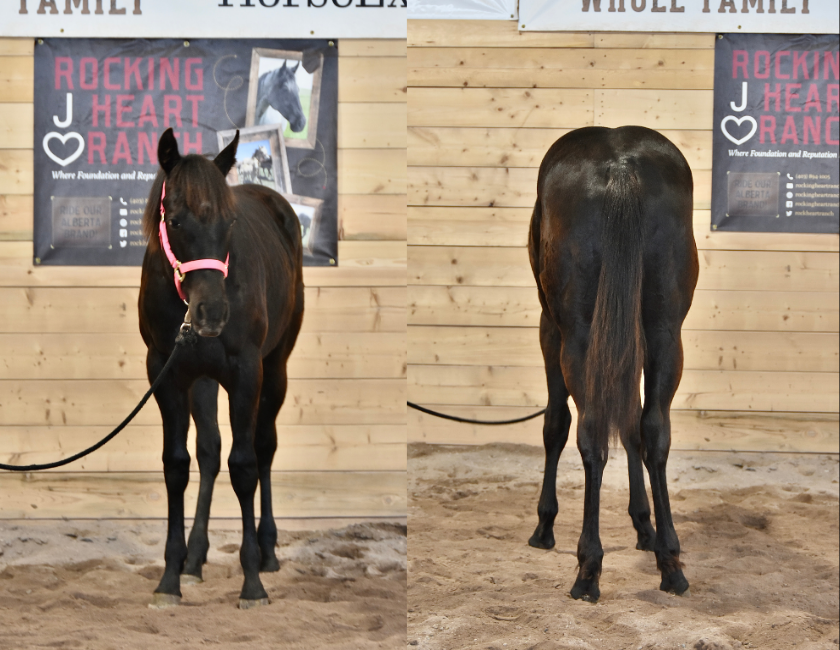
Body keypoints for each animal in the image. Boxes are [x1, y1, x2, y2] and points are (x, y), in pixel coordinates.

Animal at [138, 128, 304, 609]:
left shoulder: (247, 373)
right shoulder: (166, 374)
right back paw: (194, 559)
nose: (211, 313)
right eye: (175, 221)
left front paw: (252, 583)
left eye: (229, 223)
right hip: (203, 381)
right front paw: (170, 577)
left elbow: (244, 466)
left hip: (275, 368)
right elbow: (177, 465)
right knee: (209, 451)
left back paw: (267, 551)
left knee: (264, 448)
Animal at [527, 126, 698, 602]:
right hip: (664, 331)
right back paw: (670, 563)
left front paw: (544, 524)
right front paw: (644, 525)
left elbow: (555, 424)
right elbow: (635, 426)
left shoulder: (550, 329)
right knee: (654, 428)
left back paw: (588, 568)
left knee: (590, 433)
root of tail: (621, 168)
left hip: (577, 336)